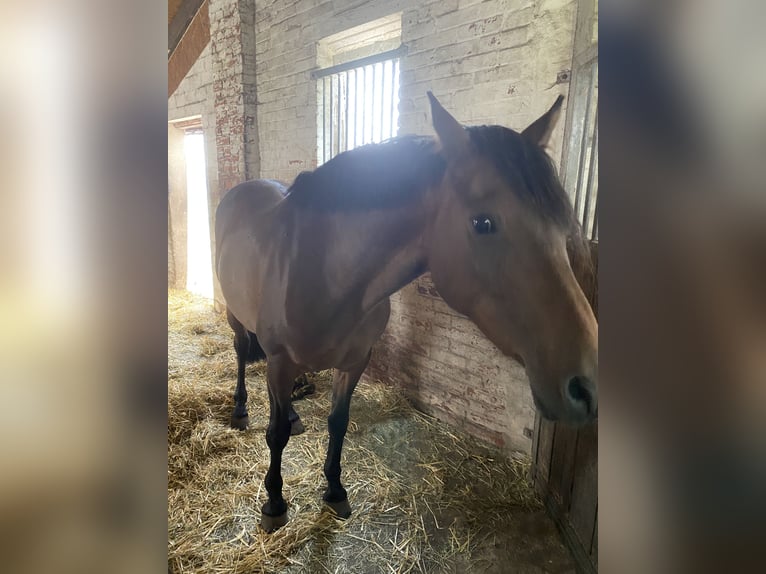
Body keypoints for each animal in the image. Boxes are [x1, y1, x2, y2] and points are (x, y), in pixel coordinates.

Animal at [216, 93, 600, 532]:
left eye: (562, 227)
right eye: (483, 222)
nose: (586, 386)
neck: (325, 270)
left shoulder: (355, 361)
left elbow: (337, 422)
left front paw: (335, 489)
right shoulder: (280, 360)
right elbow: (275, 433)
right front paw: (275, 502)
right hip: (236, 318)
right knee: (241, 353)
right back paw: (241, 409)